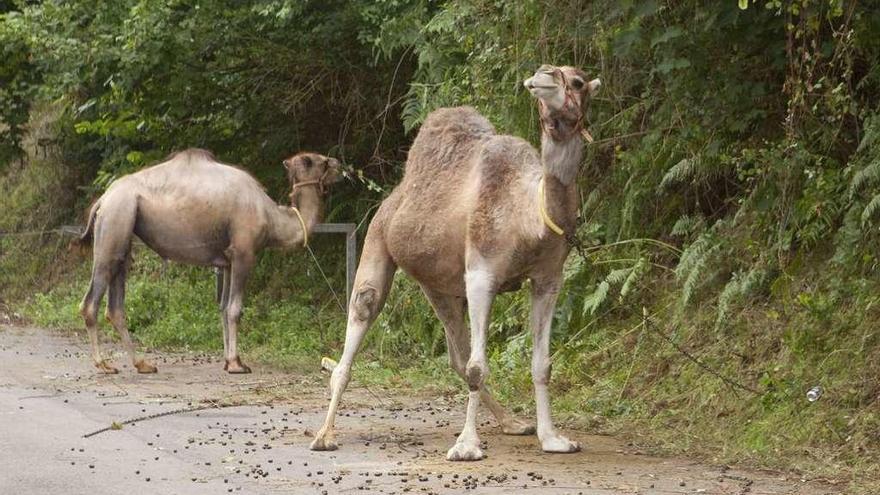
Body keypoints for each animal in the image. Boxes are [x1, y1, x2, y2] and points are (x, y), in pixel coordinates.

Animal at [76, 149, 340, 374]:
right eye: (322, 161)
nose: (340, 166)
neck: (272, 217)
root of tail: (103, 199)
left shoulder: (227, 261)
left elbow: (223, 308)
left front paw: (229, 360)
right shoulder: (244, 252)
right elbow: (235, 309)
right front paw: (235, 364)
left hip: (123, 229)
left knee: (116, 305)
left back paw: (142, 364)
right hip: (116, 219)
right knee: (91, 300)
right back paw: (103, 364)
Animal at [312, 66, 600, 462]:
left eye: (577, 82)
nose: (542, 76)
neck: (528, 215)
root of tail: (395, 195)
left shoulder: (548, 278)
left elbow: (542, 364)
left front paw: (553, 439)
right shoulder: (481, 273)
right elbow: (478, 366)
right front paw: (466, 446)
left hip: (440, 286)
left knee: (456, 355)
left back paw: (513, 422)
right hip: (378, 238)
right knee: (362, 316)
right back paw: (324, 434)